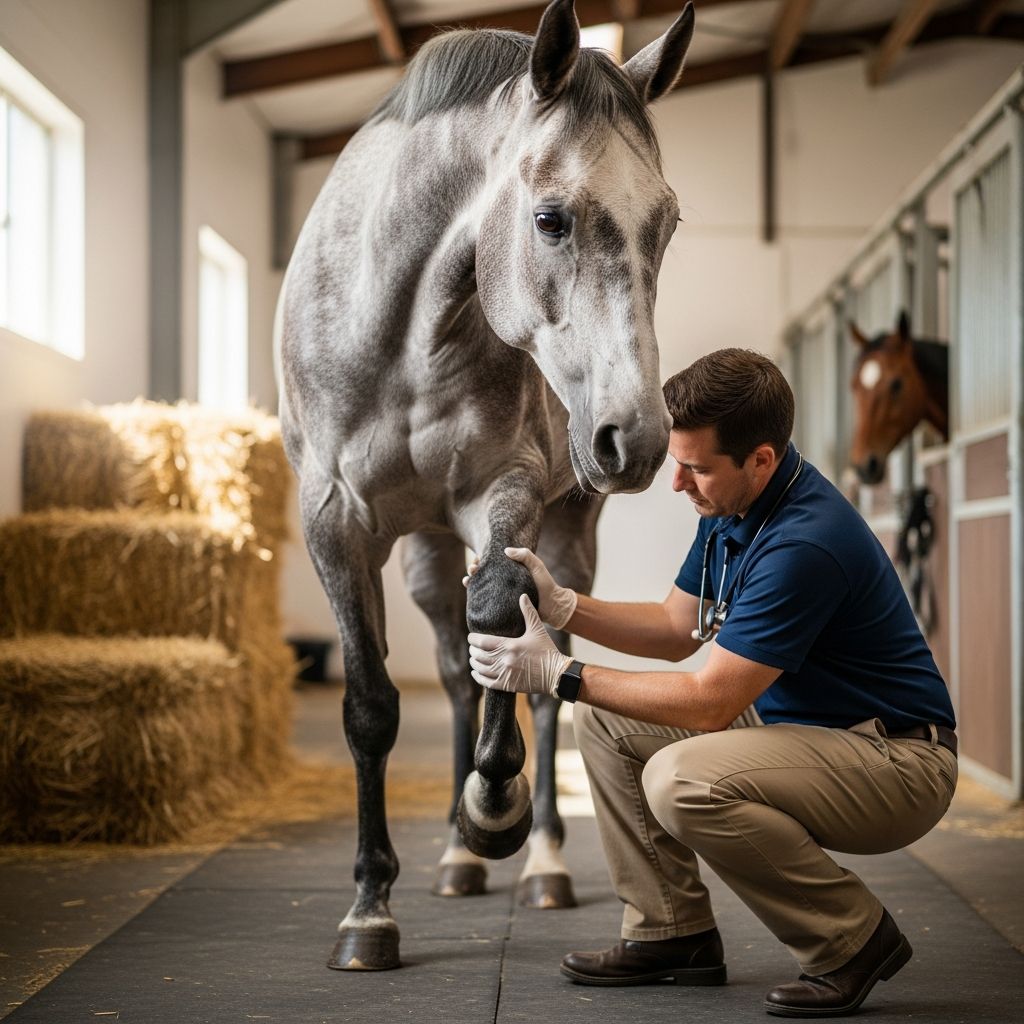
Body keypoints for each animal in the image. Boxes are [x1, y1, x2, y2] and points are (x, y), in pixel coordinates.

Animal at [275, 0, 695, 971]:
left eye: (667, 224)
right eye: (551, 219)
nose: (637, 438)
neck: (402, 328)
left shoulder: (505, 493)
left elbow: (506, 616)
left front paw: (492, 804)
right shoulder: (333, 525)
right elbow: (371, 706)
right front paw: (369, 909)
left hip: (565, 533)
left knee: (539, 666)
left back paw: (536, 855)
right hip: (427, 556)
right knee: (455, 669)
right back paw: (459, 861)